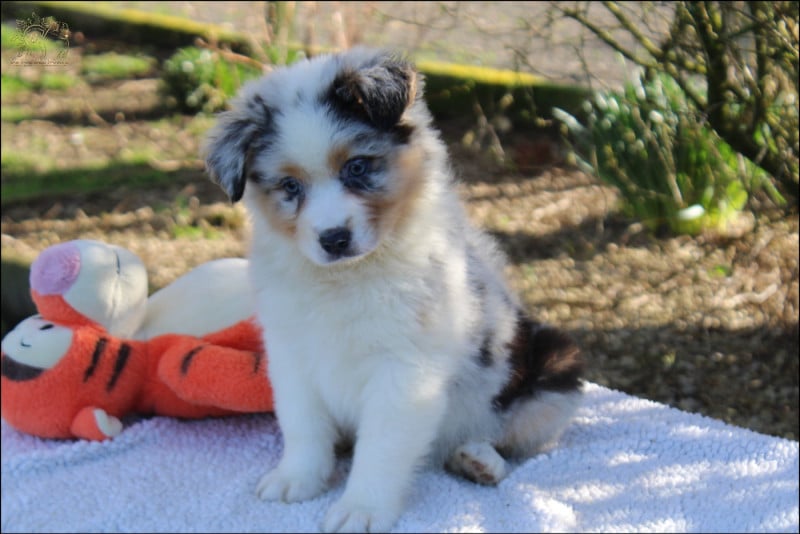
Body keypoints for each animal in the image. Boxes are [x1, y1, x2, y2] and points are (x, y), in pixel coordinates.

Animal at [204, 47, 584, 533]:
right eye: (290, 186)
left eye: (357, 167)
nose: (334, 239)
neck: (347, 278)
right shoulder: (291, 355)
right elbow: (303, 424)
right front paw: (297, 479)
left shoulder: (405, 370)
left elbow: (381, 446)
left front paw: (362, 508)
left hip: (553, 367)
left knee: (508, 437)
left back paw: (479, 460)